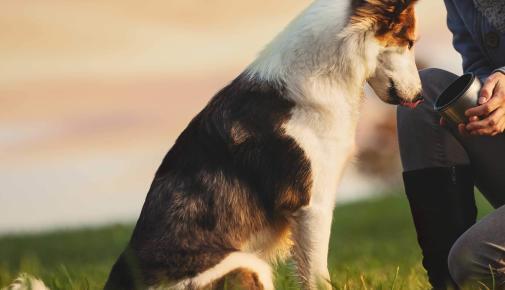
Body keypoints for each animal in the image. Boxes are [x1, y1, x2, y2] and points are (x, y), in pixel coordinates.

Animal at [103, 0, 422, 290]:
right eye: (409, 42)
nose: (420, 96)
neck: (325, 70)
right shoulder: (312, 205)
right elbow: (318, 276)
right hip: (245, 265)